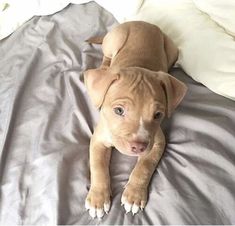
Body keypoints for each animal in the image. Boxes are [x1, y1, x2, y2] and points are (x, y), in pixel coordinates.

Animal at [83, 20, 186, 219]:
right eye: (119, 110)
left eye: (158, 115)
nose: (138, 147)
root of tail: (145, 23)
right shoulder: (98, 140)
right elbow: (98, 167)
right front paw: (98, 199)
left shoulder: (157, 142)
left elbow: (144, 166)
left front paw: (134, 196)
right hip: (115, 40)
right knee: (107, 57)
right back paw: (104, 66)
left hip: (172, 50)